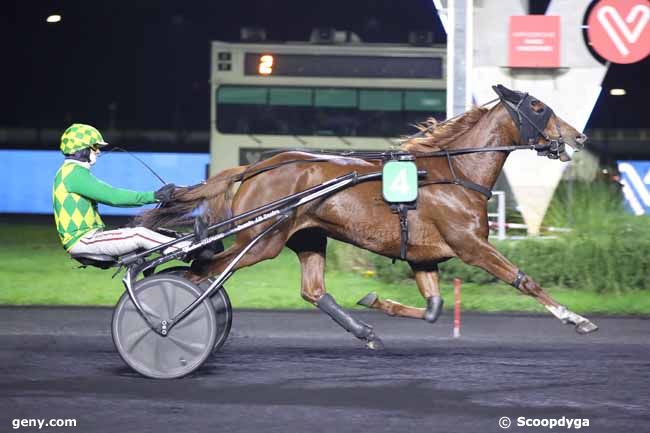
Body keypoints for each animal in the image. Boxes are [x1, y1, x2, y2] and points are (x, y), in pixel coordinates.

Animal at [139, 85, 596, 348]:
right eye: (538, 106)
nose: (578, 136)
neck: (454, 173)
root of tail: (255, 167)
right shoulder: (471, 246)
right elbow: (524, 279)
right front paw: (577, 319)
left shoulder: (424, 257)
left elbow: (434, 308)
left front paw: (377, 302)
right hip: (261, 241)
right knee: (204, 268)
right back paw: (170, 321)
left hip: (306, 236)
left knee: (312, 290)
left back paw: (363, 331)